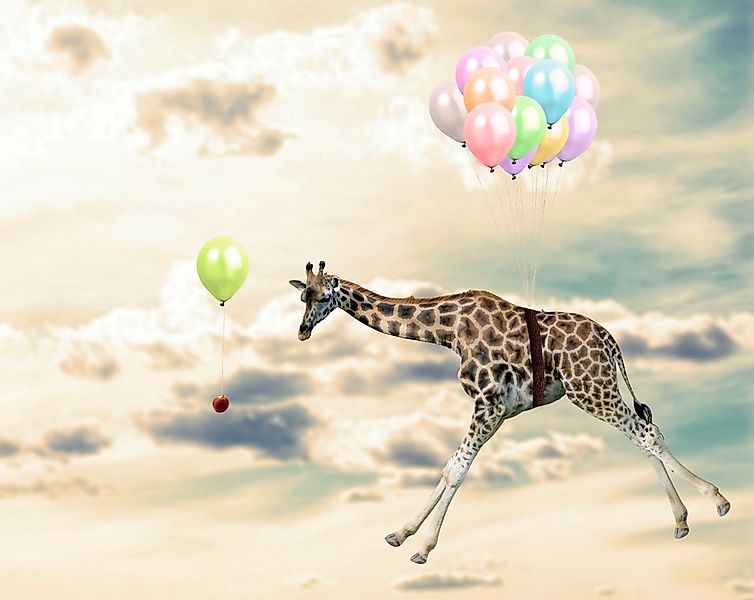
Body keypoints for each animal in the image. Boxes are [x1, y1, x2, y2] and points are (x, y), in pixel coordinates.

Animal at [289, 261, 731, 564]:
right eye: (302, 296)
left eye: (324, 296)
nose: (303, 331)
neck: (448, 331)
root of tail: (610, 340)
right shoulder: (500, 410)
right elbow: (451, 467)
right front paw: (401, 534)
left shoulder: (487, 402)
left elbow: (457, 469)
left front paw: (423, 547)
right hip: (597, 388)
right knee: (642, 434)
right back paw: (680, 521)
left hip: (590, 388)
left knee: (647, 434)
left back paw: (717, 500)